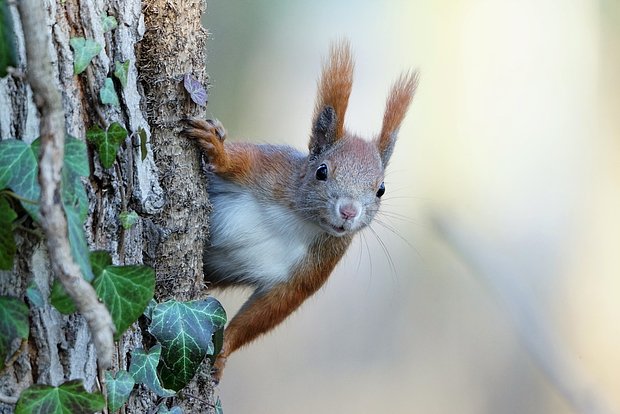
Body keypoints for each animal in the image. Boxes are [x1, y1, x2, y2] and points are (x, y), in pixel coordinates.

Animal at [182, 39, 418, 382]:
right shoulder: (269, 168)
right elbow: (237, 160)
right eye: (321, 171)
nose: (349, 212)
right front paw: (218, 150)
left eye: (381, 189)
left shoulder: (316, 266)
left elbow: (270, 310)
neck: (298, 219)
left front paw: (223, 352)